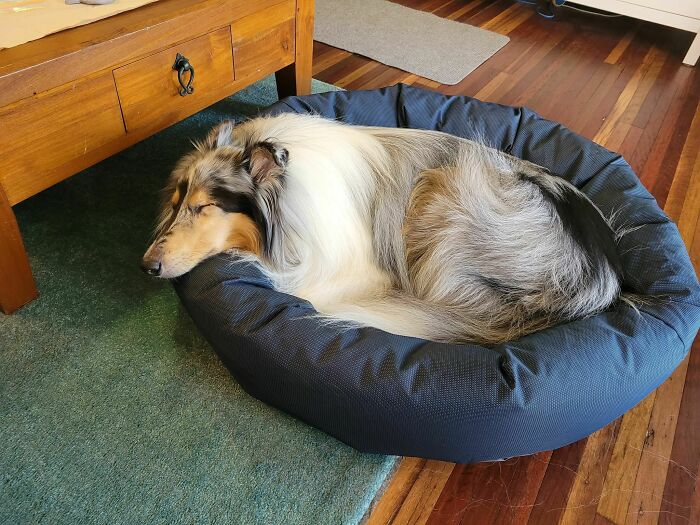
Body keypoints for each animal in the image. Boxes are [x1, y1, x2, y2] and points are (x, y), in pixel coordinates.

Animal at [142, 113, 624, 344]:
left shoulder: (353, 274)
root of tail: (601, 276)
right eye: (177, 202)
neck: (292, 198)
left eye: (204, 207)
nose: (147, 266)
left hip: (446, 199)